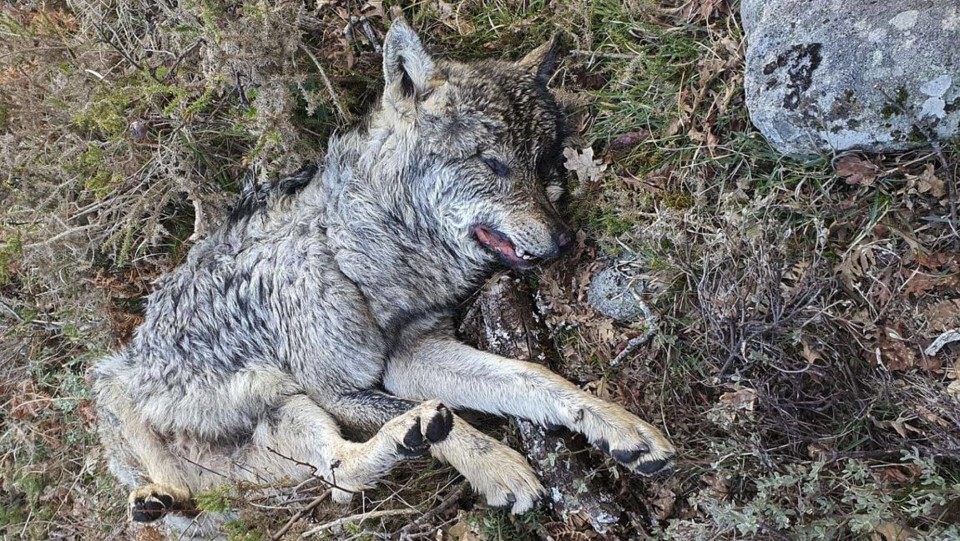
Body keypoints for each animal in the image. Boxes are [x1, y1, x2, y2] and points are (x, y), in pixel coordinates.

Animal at [90, 19, 676, 527]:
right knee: (338, 476)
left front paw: (619, 427)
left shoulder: (412, 357)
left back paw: (162, 503)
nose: (564, 241)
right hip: (255, 396)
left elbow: (533, 378)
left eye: (545, 165)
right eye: (492, 163)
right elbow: (446, 418)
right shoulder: (338, 391)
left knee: (334, 482)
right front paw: (498, 466)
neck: (354, 252)